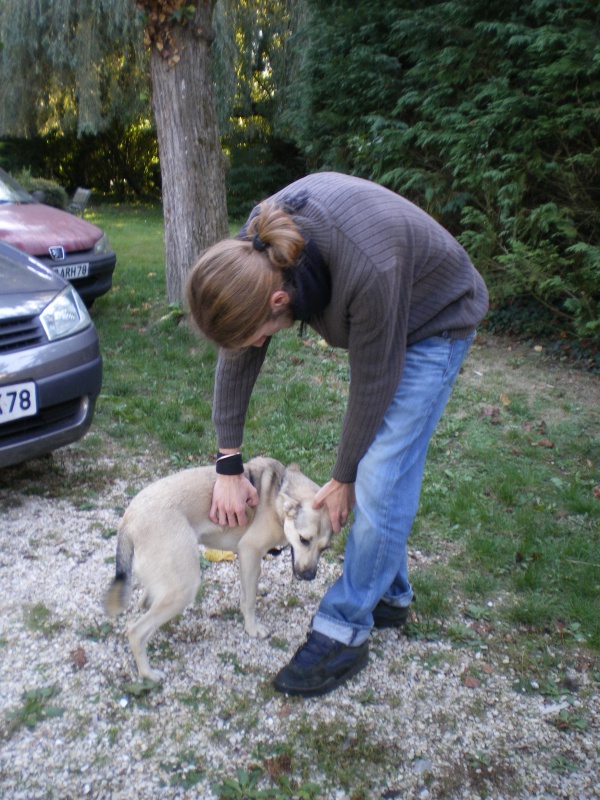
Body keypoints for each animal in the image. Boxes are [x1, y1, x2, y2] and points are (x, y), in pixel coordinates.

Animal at [106, 456, 336, 680]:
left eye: (324, 548)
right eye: (304, 539)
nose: (309, 576)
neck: (278, 494)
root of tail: (128, 520)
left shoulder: (249, 558)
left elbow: (250, 583)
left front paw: (257, 589)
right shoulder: (249, 550)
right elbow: (249, 601)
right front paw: (252, 628)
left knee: (145, 601)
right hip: (184, 588)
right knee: (136, 633)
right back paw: (148, 673)